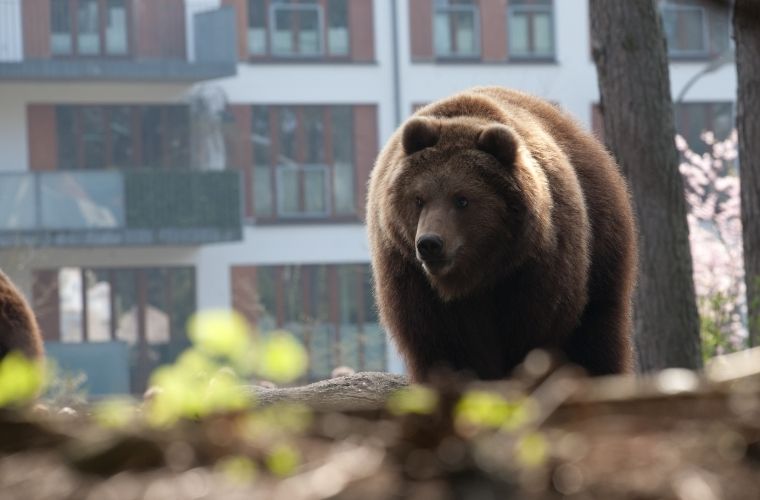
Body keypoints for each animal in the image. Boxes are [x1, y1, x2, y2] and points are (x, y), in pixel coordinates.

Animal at [366, 88, 636, 380]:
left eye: (462, 199)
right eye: (419, 199)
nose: (429, 243)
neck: (475, 276)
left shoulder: (535, 270)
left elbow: (533, 335)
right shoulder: (412, 279)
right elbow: (444, 345)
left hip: (602, 251)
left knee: (598, 331)